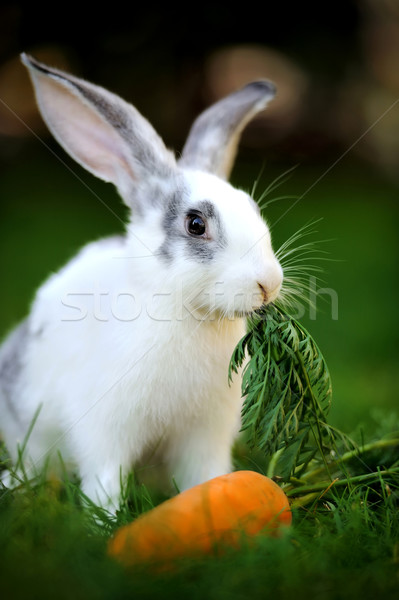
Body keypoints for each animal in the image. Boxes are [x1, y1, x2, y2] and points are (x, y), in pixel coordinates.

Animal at [0, 55, 284, 510]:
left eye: (252, 208)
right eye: (196, 224)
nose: (268, 284)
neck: (186, 312)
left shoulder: (205, 434)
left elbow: (204, 473)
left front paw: (212, 497)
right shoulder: (105, 428)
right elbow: (104, 476)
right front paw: (104, 519)